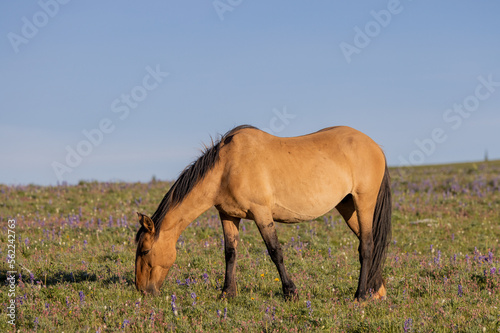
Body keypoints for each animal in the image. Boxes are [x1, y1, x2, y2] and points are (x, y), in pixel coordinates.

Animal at [135, 125, 392, 300]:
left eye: (145, 250)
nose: (142, 290)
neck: (226, 167)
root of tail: (376, 147)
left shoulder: (261, 212)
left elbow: (275, 252)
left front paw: (290, 292)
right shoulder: (228, 215)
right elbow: (230, 253)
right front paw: (227, 293)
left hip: (364, 202)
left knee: (367, 245)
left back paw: (360, 295)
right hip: (347, 206)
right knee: (371, 243)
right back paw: (377, 290)